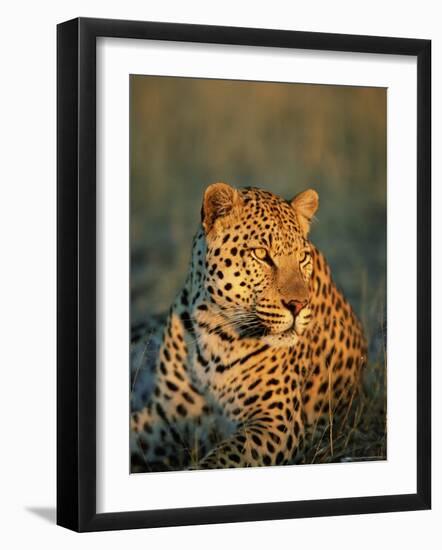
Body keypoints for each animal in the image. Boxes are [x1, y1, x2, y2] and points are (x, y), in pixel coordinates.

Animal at [130, 183, 366, 472]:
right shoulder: (166, 416)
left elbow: (221, 459)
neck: (215, 328)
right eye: (261, 254)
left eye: (302, 257)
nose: (299, 305)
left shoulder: (275, 420)